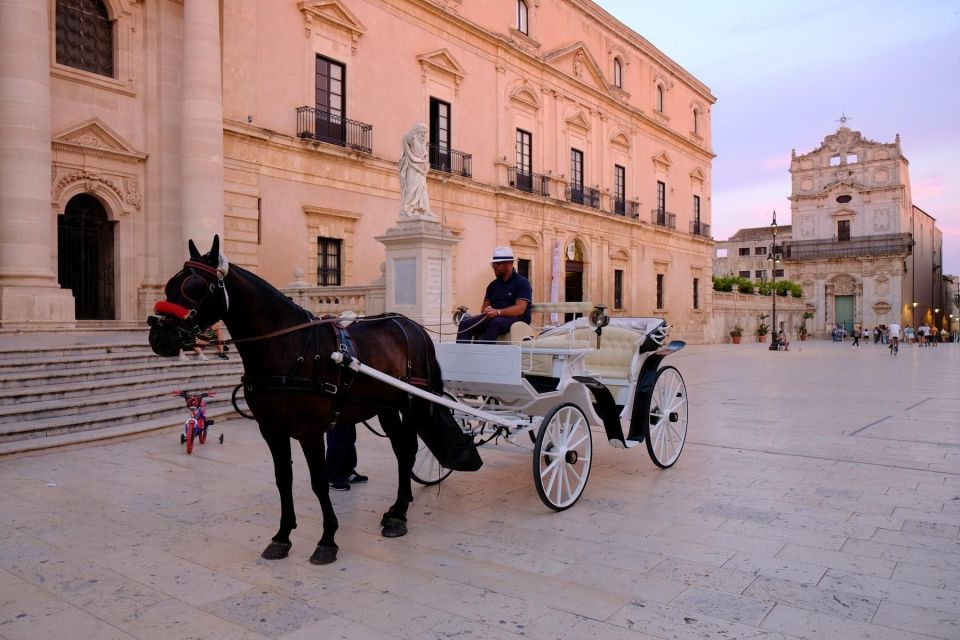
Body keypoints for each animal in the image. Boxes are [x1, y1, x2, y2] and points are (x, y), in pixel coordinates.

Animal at [148, 236, 480, 564]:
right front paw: (282, 536)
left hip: (412, 404)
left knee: (408, 450)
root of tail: (412, 325)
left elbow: (319, 481)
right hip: (385, 408)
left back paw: (400, 512)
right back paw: (398, 509)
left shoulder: (310, 431)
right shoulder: (271, 430)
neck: (287, 348)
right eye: (169, 285)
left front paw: (327, 539)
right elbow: (283, 479)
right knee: (403, 451)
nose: (158, 337)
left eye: (194, 287)